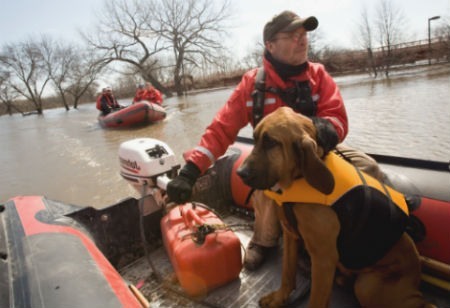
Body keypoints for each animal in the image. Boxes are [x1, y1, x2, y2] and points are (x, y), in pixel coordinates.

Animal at [237, 107, 430, 306]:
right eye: (255, 139)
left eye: (271, 142)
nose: (240, 173)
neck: (299, 178)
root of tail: (416, 282)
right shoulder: (291, 235)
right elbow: (287, 274)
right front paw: (279, 298)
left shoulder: (323, 259)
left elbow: (316, 300)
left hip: (367, 286)